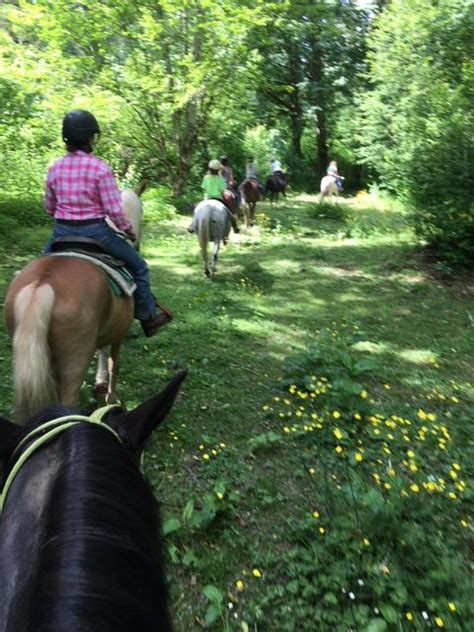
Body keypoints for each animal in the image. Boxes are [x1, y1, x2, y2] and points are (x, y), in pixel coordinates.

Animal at [3, 190, 143, 422]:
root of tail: (42, 283)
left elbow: (103, 352)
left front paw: (99, 385)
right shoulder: (119, 332)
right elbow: (115, 363)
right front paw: (111, 399)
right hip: (75, 360)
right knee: (68, 397)